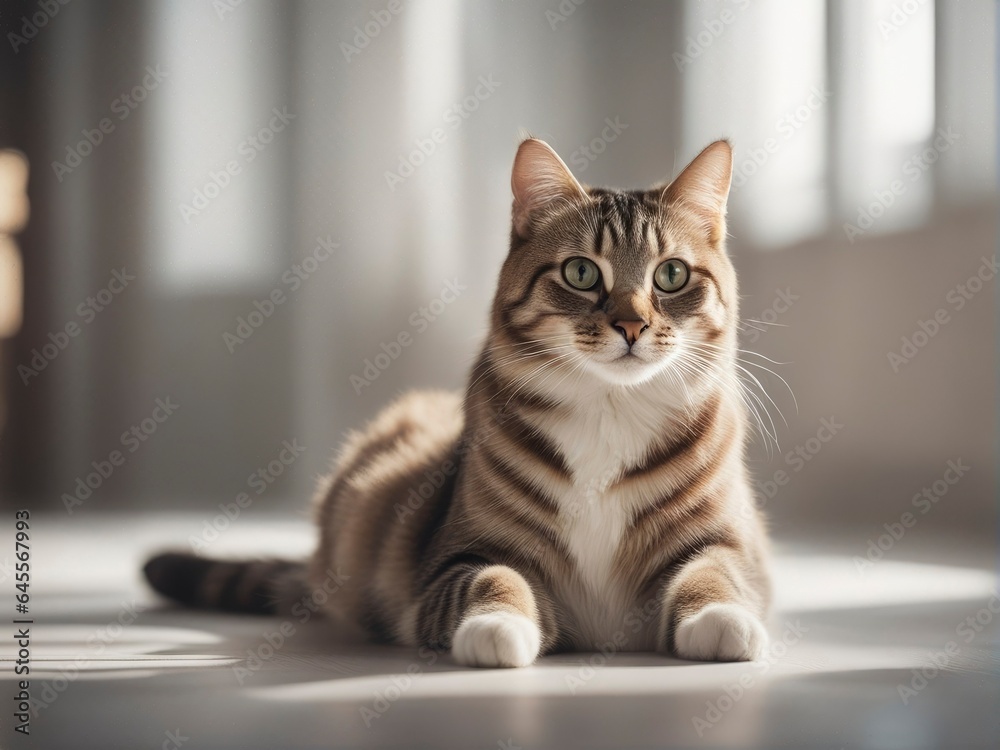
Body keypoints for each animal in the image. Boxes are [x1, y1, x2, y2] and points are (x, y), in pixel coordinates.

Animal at [145, 137, 772, 668]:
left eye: (671, 274)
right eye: (580, 272)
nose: (632, 325)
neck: (608, 411)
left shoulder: (729, 545)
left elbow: (713, 574)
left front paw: (721, 620)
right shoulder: (456, 556)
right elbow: (494, 578)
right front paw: (495, 627)